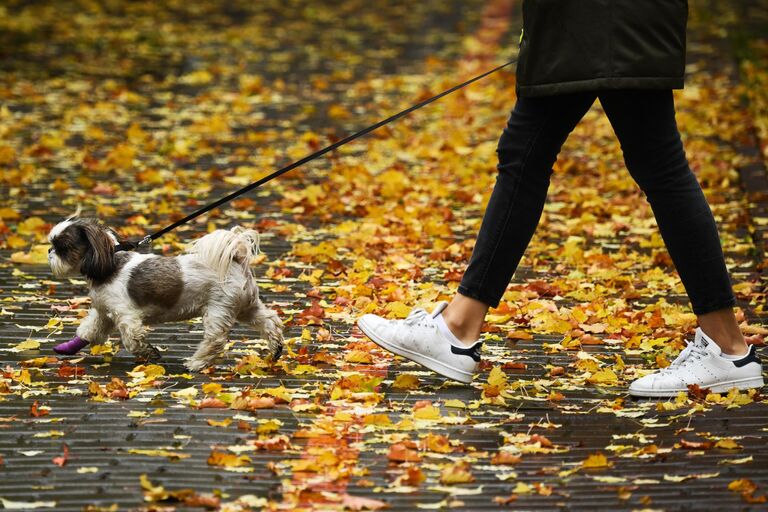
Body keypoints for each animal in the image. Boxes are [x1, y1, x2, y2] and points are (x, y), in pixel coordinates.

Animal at [46, 217, 284, 372]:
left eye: (63, 247)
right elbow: (89, 330)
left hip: (219, 308)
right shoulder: (104, 312)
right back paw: (276, 349)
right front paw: (68, 347)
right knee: (270, 321)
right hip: (246, 306)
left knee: (215, 339)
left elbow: (132, 340)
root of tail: (237, 259)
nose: (49, 251)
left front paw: (149, 353)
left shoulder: (126, 316)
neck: (109, 265)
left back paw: (196, 363)